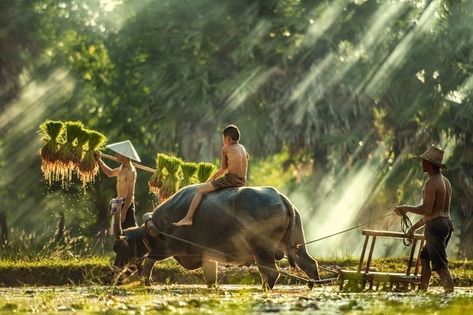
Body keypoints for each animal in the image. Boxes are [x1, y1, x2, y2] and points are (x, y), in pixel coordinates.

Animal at [113, 185, 318, 292]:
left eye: (119, 247)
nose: (116, 267)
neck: (155, 228)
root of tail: (280, 197)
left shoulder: (168, 247)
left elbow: (149, 260)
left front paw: (146, 282)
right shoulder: (207, 255)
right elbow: (211, 275)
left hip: (261, 248)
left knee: (270, 271)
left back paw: (265, 288)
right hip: (295, 243)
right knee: (308, 263)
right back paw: (314, 284)